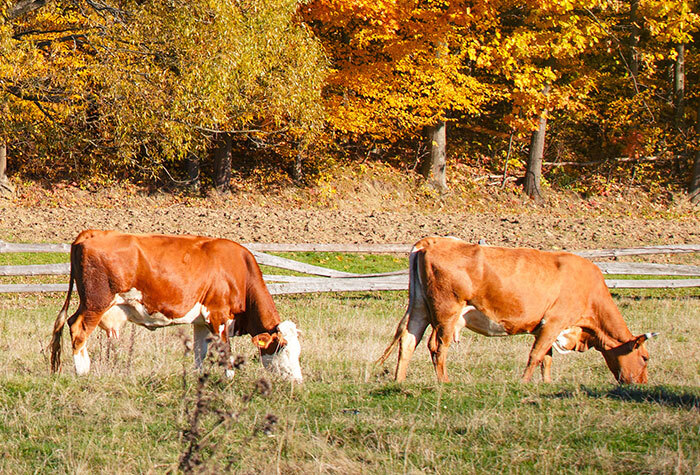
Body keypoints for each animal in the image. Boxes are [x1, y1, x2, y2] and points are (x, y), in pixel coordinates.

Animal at [49, 231, 300, 384]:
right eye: (282, 348)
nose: (298, 381)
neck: (238, 271)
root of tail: (93, 233)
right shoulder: (219, 316)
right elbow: (226, 352)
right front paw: (229, 380)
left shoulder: (201, 322)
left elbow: (200, 353)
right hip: (96, 303)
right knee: (78, 330)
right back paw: (83, 372)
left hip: (89, 303)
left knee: (70, 323)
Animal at [378, 236, 656, 384]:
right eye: (645, 358)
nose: (641, 385)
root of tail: (434, 241)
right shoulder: (554, 322)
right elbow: (536, 355)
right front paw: (524, 383)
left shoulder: (545, 328)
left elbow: (547, 358)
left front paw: (546, 384)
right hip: (446, 312)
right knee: (436, 346)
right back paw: (444, 382)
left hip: (420, 308)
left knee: (408, 340)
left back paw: (399, 381)